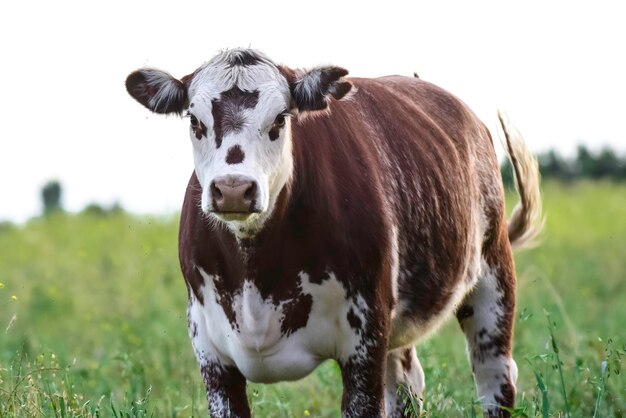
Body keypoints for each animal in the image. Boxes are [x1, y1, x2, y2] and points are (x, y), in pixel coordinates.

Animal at [124, 49, 540, 418]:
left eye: (280, 119)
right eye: (195, 121)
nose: (233, 189)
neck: (256, 269)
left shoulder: (364, 339)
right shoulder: (210, 352)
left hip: (492, 277)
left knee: (495, 379)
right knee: (407, 387)